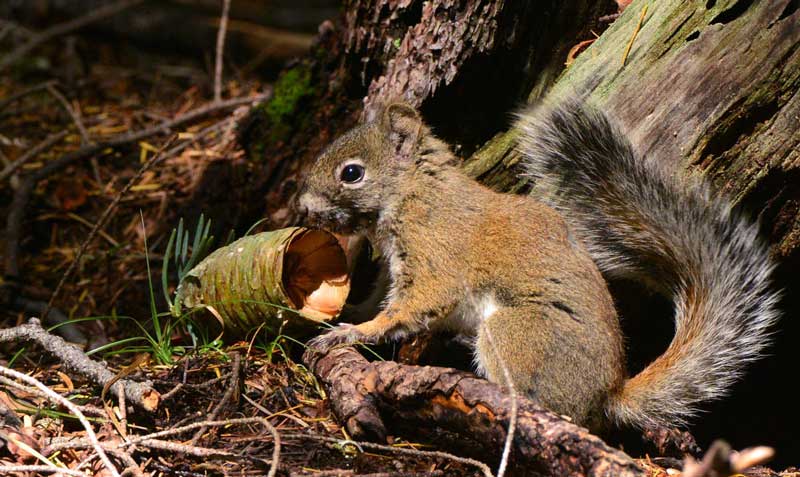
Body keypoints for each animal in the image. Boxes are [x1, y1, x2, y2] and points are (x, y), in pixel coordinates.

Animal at [297, 99, 780, 432]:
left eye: (352, 173)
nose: (301, 207)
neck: (414, 192)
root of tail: (608, 395)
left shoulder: (435, 256)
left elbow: (408, 308)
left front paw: (350, 334)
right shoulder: (393, 268)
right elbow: (379, 298)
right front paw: (347, 314)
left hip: (517, 334)